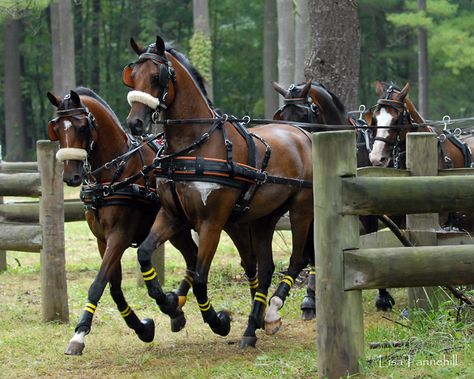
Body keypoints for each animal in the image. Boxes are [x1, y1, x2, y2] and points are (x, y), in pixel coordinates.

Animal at [46, 87, 198, 356]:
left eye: (82, 127)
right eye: (56, 129)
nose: (71, 177)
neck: (116, 171)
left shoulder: (120, 235)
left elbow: (98, 283)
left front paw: (79, 334)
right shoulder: (102, 240)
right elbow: (114, 288)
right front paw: (142, 327)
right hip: (177, 231)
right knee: (193, 256)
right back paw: (176, 311)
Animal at [124, 37, 312, 348]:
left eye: (155, 77)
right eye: (132, 76)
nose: (134, 123)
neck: (195, 146)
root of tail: (303, 133)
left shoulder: (211, 222)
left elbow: (200, 277)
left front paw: (218, 321)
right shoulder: (172, 215)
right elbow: (145, 254)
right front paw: (168, 303)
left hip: (300, 210)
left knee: (297, 260)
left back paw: (272, 313)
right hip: (263, 218)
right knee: (265, 268)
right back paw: (251, 329)